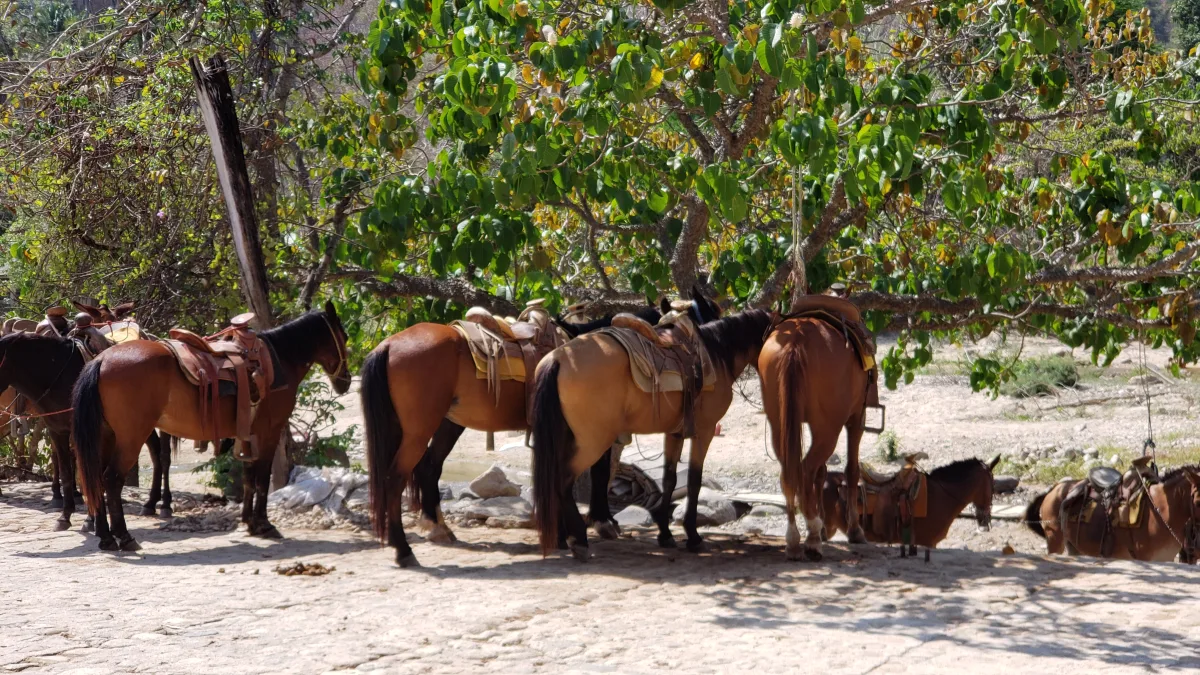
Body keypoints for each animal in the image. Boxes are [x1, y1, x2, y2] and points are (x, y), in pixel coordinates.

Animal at [72, 301, 350, 551]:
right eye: (344, 336)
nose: (345, 382)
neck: (279, 360)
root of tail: (101, 360)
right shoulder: (269, 432)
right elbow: (262, 478)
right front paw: (264, 524)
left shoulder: (248, 433)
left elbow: (248, 477)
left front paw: (249, 522)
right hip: (131, 437)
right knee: (112, 479)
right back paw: (125, 537)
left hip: (106, 436)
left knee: (96, 478)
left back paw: (106, 537)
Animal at [362, 291, 722, 567]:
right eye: (701, 320)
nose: (703, 369)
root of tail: (388, 345)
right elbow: (597, 471)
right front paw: (597, 524)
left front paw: (567, 532)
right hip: (420, 429)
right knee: (397, 478)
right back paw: (404, 549)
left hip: (448, 422)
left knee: (428, 467)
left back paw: (437, 528)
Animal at [531, 308, 774, 560]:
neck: (716, 355)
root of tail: (557, 358)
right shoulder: (704, 432)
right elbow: (694, 481)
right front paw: (693, 536)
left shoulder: (674, 433)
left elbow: (670, 479)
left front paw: (665, 532)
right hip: (592, 443)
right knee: (563, 480)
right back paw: (578, 539)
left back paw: (563, 537)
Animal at [757, 315, 874, 561]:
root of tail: (797, 339)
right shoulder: (856, 417)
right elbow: (851, 470)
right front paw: (854, 530)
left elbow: (821, 474)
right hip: (829, 428)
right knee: (804, 470)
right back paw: (811, 537)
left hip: (779, 424)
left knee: (790, 472)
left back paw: (794, 540)